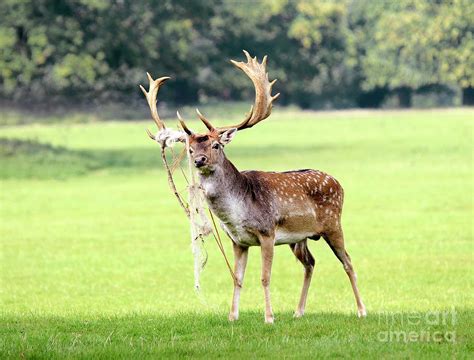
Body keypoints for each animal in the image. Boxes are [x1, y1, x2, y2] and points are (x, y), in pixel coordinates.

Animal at [141, 50, 366, 324]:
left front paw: (269, 317)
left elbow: (265, 277)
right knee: (311, 263)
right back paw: (298, 311)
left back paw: (361, 310)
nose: (199, 160)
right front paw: (232, 316)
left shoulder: (267, 232)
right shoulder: (238, 241)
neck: (237, 214)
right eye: (190, 149)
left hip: (333, 224)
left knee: (348, 262)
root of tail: (338, 183)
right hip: (299, 239)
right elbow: (237, 278)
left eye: (216, 145)